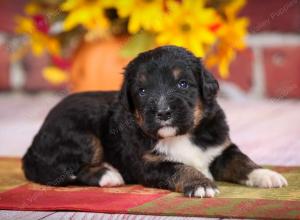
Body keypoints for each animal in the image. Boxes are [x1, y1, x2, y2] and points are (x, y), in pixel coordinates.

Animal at [22, 45, 288, 197]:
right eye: (141, 91)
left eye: (183, 84)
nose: (162, 112)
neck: (180, 135)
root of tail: (33, 144)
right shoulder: (147, 164)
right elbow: (179, 167)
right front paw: (200, 183)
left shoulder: (221, 147)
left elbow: (242, 160)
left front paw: (266, 175)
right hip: (81, 135)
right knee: (67, 170)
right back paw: (108, 175)